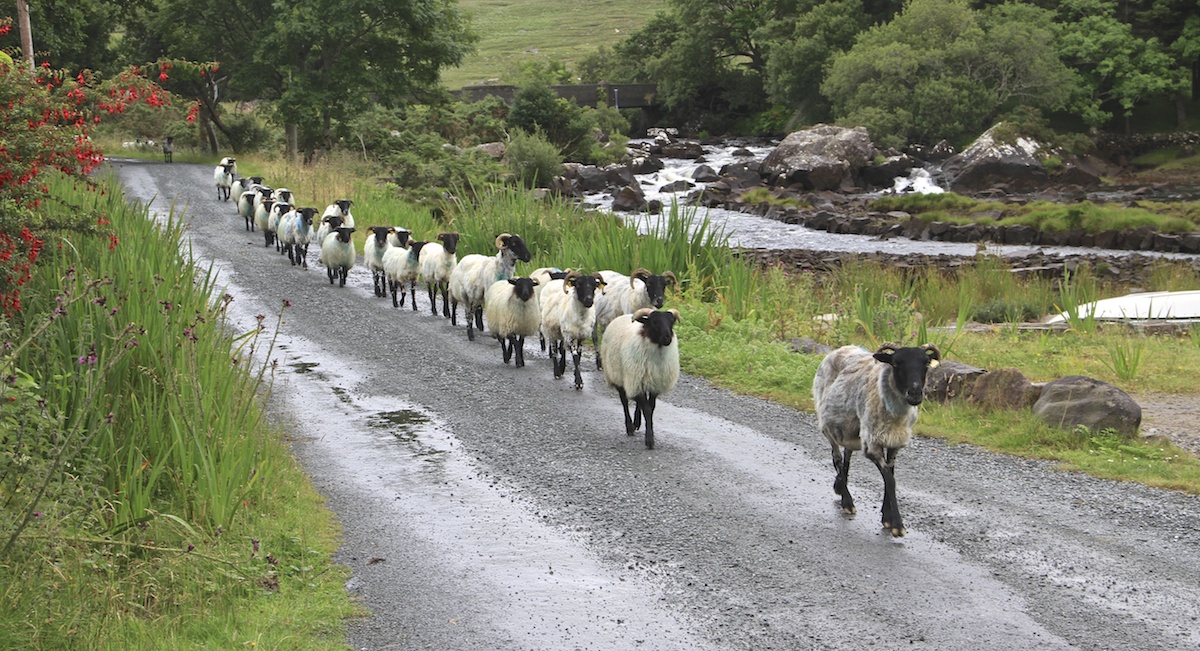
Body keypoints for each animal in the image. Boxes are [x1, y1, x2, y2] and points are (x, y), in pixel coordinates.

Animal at [597, 306, 681, 449]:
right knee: (624, 402)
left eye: (671, 322)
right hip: (619, 376)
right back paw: (630, 427)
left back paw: (636, 422)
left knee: (638, 402)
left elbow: (650, 407)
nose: (667, 338)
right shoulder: (634, 380)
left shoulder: (654, 384)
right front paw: (649, 440)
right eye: (654, 322)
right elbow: (647, 409)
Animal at [811, 343, 940, 538]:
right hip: (828, 424)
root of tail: (842, 348)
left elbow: (890, 476)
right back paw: (847, 501)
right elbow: (890, 479)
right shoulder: (872, 444)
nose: (915, 393)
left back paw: (840, 486)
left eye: (926, 364)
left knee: (847, 455)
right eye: (896, 363)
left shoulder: (894, 441)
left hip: (850, 427)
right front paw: (897, 525)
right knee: (837, 458)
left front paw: (887, 517)